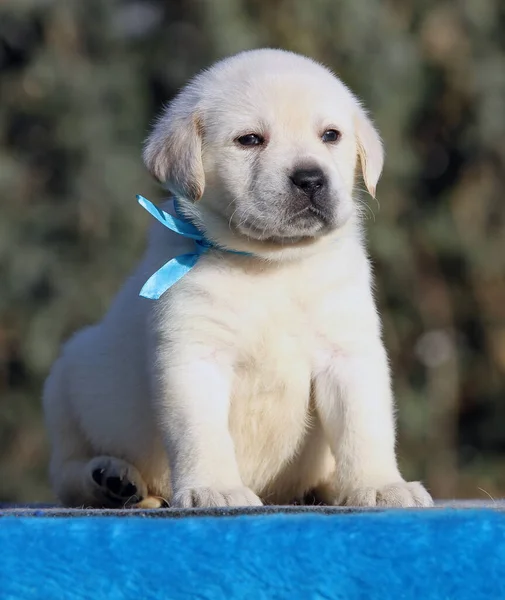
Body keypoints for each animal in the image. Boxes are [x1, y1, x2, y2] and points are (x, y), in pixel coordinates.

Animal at [42, 48, 434, 506]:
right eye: (249, 140)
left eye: (331, 135)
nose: (311, 178)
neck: (272, 264)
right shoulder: (194, 355)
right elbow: (202, 432)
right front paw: (216, 487)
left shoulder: (348, 352)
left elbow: (364, 428)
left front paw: (380, 484)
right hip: (65, 383)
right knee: (66, 472)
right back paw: (111, 478)